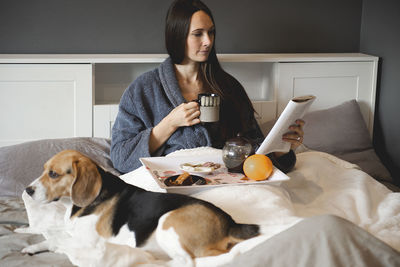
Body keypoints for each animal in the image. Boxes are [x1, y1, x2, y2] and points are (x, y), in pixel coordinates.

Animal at [25, 151, 260, 264]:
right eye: (44, 170)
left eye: (53, 174)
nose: (27, 190)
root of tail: (229, 222)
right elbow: (52, 237)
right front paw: (32, 246)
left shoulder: (88, 241)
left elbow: (58, 240)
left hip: (167, 221)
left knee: (189, 260)